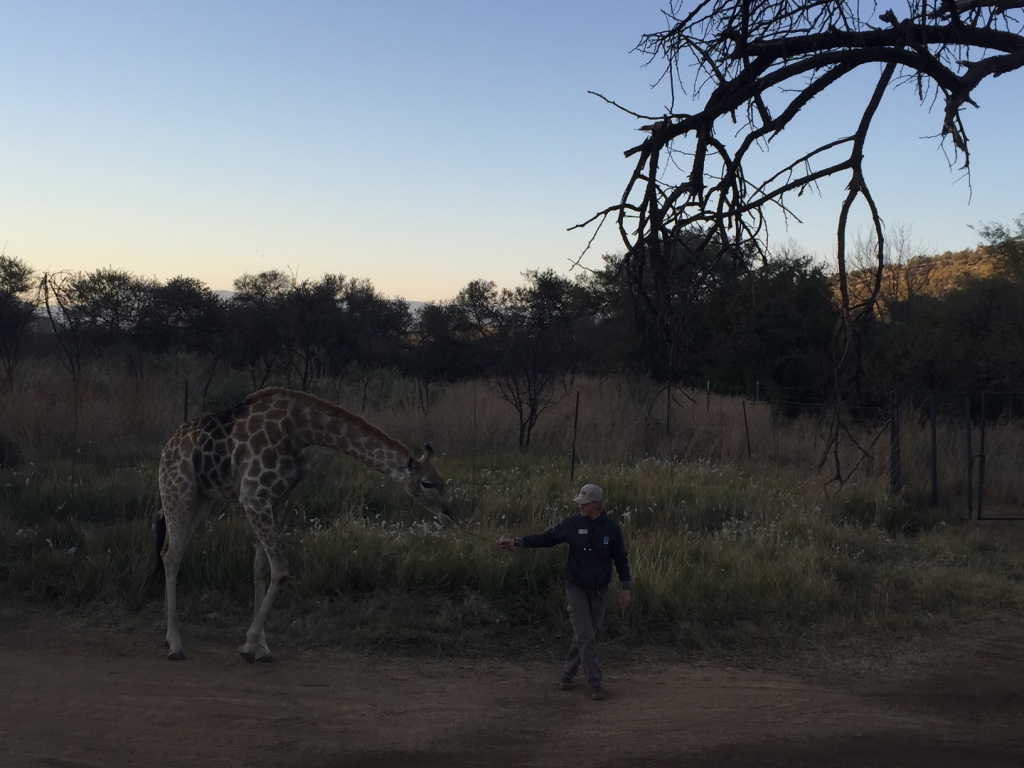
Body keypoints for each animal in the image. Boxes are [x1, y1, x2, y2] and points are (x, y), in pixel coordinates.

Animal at [154, 386, 452, 662]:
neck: (297, 431)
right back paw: (176, 644)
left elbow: (261, 569)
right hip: (179, 492)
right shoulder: (253, 497)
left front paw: (260, 647)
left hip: (202, 499)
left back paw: (167, 637)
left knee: (169, 551)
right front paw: (250, 645)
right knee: (171, 555)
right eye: (427, 483)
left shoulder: (277, 500)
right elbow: (280, 568)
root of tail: (167, 447)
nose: (448, 513)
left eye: (443, 481)